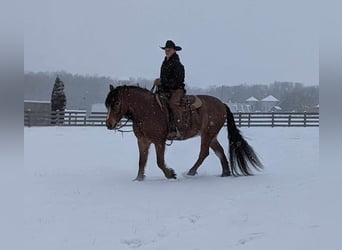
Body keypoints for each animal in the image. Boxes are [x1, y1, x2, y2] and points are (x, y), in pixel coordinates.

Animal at [105, 85, 264, 181]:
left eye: (117, 103)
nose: (109, 124)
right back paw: (225, 173)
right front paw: (138, 179)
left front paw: (171, 174)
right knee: (219, 151)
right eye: (107, 104)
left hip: (207, 134)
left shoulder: (159, 141)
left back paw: (190, 172)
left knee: (204, 153)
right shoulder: (142, 141)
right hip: (212, 136)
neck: (147, 110)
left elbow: (159, 162)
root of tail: (222, 104)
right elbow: (141, 161)